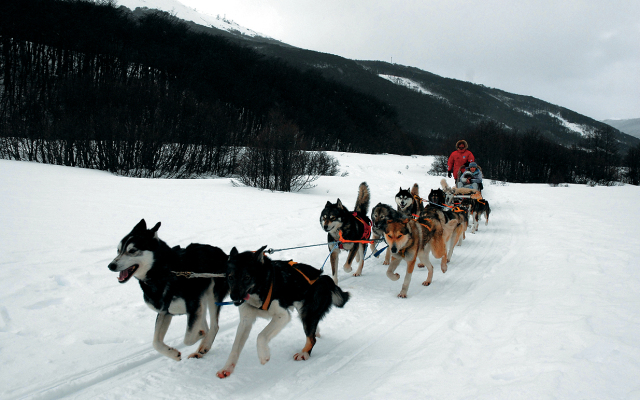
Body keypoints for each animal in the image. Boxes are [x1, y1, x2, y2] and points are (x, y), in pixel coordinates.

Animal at [109, 220, 229, 360]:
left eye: (132, 250)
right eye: (118, 250)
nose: (111, 265)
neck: (163, 273)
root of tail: (225, 255)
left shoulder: (193, 307)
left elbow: (188, 339)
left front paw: (200, 335)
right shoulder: (165, 312)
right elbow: (156, 343)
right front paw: (172, 353)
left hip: (212, 296)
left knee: (214, 326)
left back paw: (204, 345)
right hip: (202, 302)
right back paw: (199, 350)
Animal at [219, 245, 352, 380]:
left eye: (246, 277)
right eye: (230, 277)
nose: (234, 296)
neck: (261, 287)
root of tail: (324, 278)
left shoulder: (282, 316)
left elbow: (261, 336)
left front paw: (263, 355)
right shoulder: (246, 321)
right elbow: (235, 347)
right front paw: (227, 368)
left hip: (307, 315)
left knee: (311, 339)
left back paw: (304, 353)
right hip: (302, 309)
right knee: (313, 332)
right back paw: (316, 333)